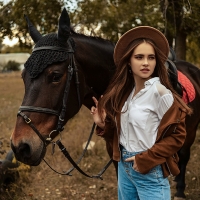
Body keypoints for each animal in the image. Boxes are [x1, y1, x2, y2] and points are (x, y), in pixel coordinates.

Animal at [10, 8, 200, 200]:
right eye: (23, 76)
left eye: (55, 75)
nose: (20, 147)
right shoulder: (114, 150)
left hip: (190, 131)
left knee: (184, 155)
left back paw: (180, 189)